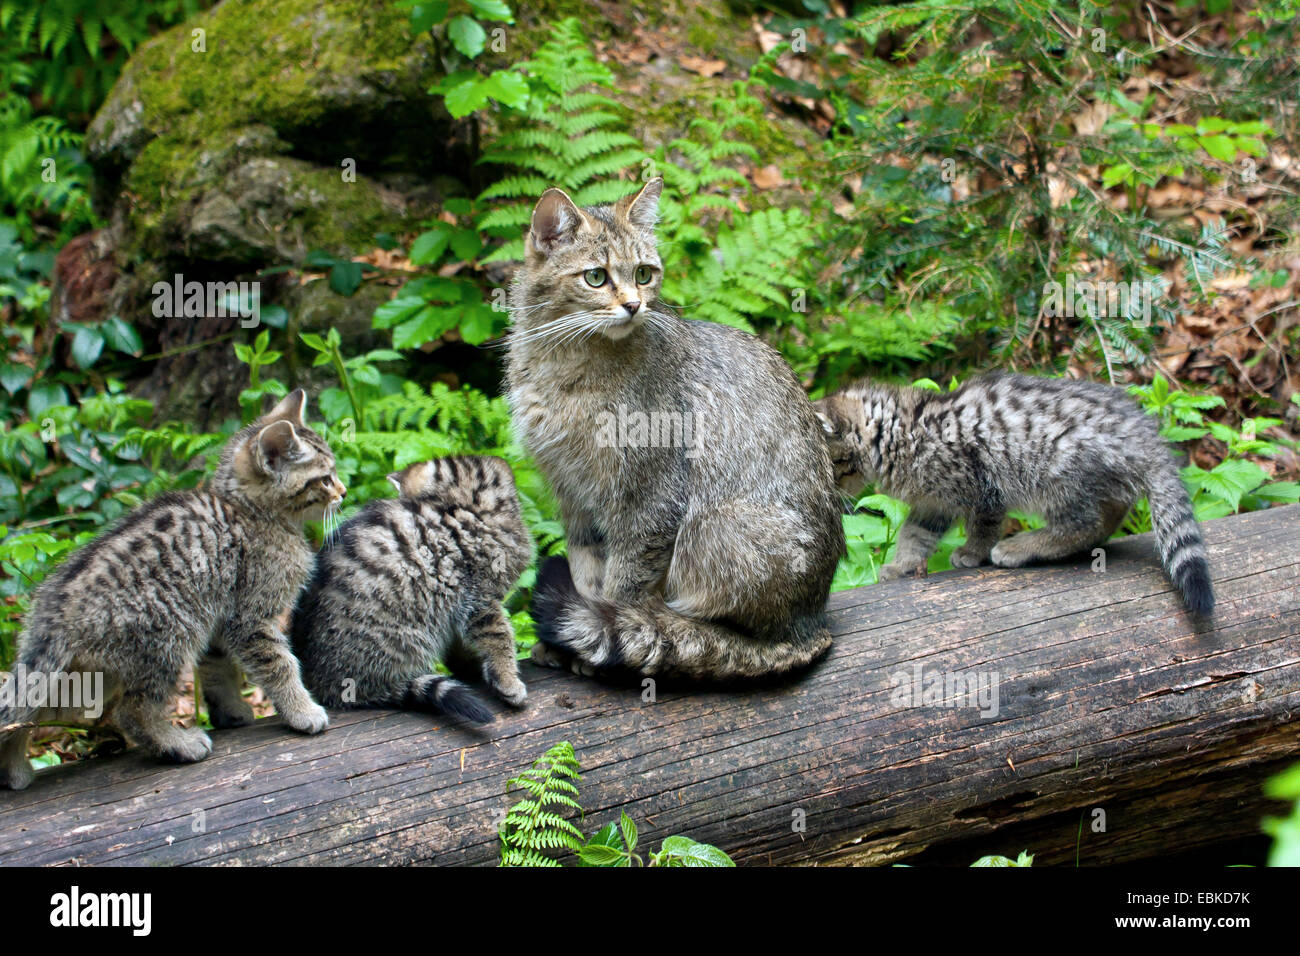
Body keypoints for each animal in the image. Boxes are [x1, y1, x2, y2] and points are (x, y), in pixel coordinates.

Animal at [0, 390, 343, 790]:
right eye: (324, 479)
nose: (343, 491)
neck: (250, 511)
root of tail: (54, 610)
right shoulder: (250, 617)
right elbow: (280, 664)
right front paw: (302, 711)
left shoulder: (220, 619)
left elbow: (217, 670)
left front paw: (231, 711)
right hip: (169, 635)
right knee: (131, 710)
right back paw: (177, 742)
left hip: (84, 670)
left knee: (31, 708)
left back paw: (13, 768)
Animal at [289, 457, 533, 723]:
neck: (464, 505)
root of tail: (321, 681)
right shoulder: (478, 597)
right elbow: (498, 635)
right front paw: (507, 678)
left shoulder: (456, 605)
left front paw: (470, 667)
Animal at [506, 178, 842, 681]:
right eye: (596, 278)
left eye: (644, 274)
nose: (633, 305)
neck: (565, 365)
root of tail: (812, 623)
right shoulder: (573, 496)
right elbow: (586, 574)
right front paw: (568, 641)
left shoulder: (650, 497)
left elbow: (622, 590)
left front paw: (599, 639)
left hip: (715, 524)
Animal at [816, 374, 1211, 613]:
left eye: (826, 467)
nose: (828, 494)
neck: (901, 429)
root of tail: (1143, 433)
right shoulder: (934, 503)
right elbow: (915, 534)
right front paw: (903, 564)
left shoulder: (982, 483)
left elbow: (984, 524)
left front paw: (972, 553)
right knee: (1108, 514)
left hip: (1057, 470)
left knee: (1085, 523)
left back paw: (1020, 547)